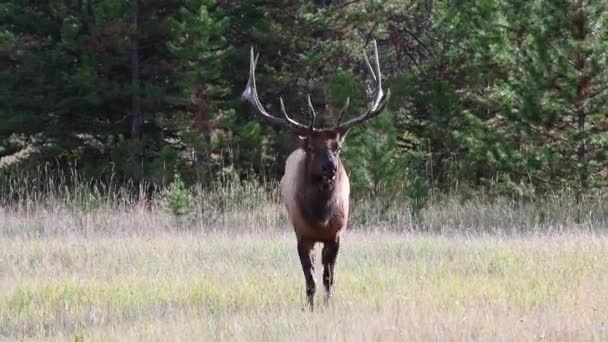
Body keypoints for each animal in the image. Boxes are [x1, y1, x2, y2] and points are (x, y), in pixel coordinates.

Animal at [241, 40, 390, 310]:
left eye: (337, 147)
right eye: (311, 147)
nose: (330, 168)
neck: (321, 218)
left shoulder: (336, 234)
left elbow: (329, 277)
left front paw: (329, 303)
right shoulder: (302, 234)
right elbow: (309, 279)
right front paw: (310, 306)